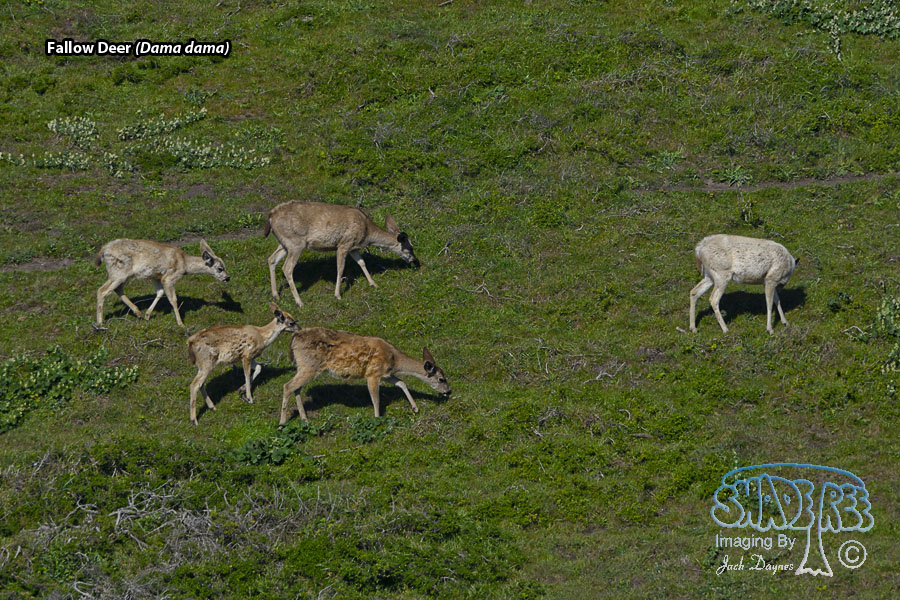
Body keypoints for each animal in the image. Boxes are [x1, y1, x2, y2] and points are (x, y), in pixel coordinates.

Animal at [95, 238, 229, 327]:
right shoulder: (169, 277)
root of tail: (104, 250)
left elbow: (159, 293)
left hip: (118, 274)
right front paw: (181, 323)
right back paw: (100, 323)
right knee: (103, 291)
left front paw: (147, 315)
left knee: (113, 289)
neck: (184, 264)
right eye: (220, 268)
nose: (228, 278)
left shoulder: (157, 277)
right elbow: (173, 299)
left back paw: (138, 312)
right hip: (120, 272)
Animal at [263, 201, 419, 307]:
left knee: (271, 259)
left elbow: (362, 262)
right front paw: (337, 295)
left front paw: (373, 283)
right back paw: (299, 302)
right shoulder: (344, 244)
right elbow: (340, 269)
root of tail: (270, 216)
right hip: (296, 243)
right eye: (410, 247)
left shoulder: (353, 248)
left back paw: (276, 295)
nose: (415, 261)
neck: (367, 233)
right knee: (287, 268)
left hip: (285, 243)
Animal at [279, 327, 450, 425]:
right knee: (287, 386)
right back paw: (282, 423)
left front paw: (415, 408)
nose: (449, 391)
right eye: (441, 379)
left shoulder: (386, 374)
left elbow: (402, 383)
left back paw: (305, 419)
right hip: (310, 366)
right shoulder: (372, 372)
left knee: (296, 388)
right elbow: (376, 398)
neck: (394, 359)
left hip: (303, 367)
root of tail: (294, 337)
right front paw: (377, 419)